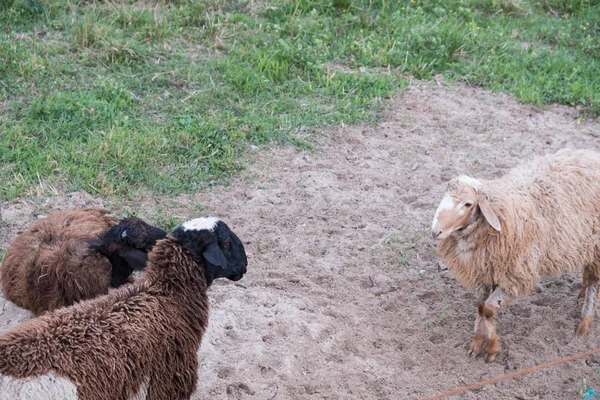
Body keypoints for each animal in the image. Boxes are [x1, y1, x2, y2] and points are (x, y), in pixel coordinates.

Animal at [434, 149, 600, 362]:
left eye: (468, 203)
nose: (435, 231)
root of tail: (590, 154)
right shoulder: (487, 270)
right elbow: (481, 306)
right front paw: (477, 344)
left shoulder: (516, 275)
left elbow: (488, 308)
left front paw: (492, 348)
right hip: (585, 243)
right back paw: (582, 291)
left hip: (596, 244)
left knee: (595, 281)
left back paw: (585, 321)